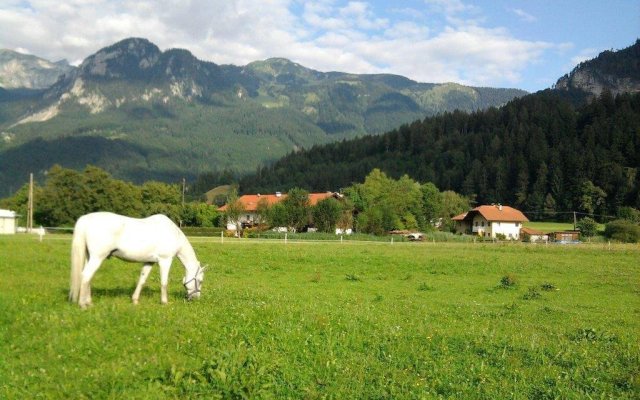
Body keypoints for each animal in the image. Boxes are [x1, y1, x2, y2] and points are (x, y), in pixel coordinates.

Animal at [68, 212, 204, 310]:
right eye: (200, 281)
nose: (195, 298)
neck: (173, 233)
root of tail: (85, 220)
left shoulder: (149, 262)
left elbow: (141, 280)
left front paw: (135, 300)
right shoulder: (165, 261)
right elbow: (164, 283)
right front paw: (164, 302)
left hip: (90, 257)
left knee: (87, 278)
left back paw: (89, 302)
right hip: (97, 257)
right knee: (86, 276)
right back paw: (83, 305)